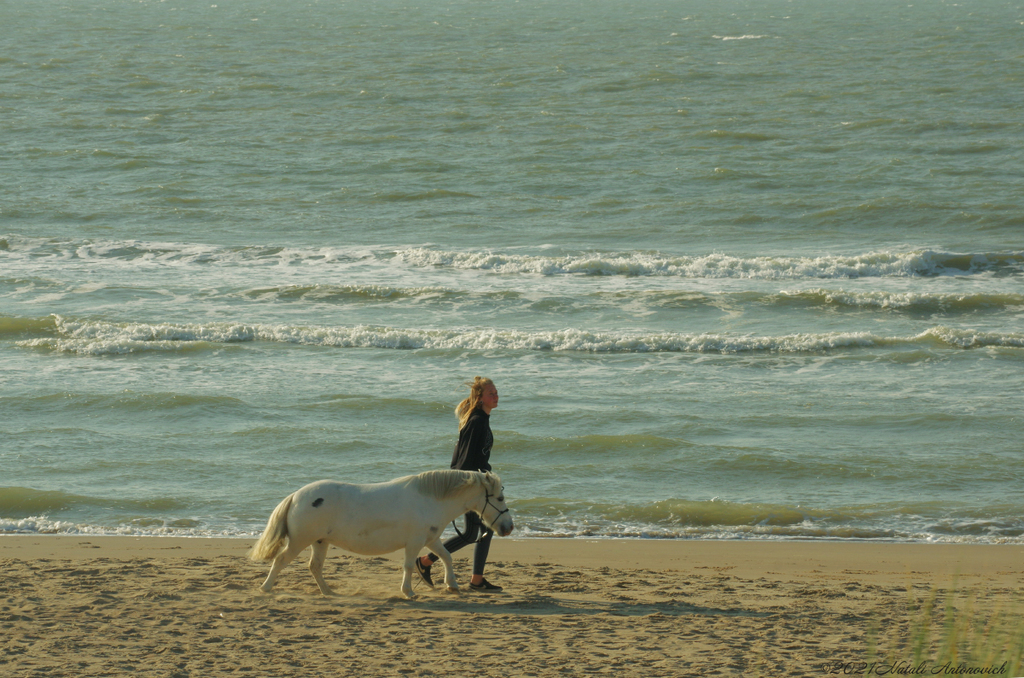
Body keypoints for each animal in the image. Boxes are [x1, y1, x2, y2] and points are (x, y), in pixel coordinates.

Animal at [247, 473, 512, 602]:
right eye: (499, 498)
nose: (508, 527)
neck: (429, 500)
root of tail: (295, 496)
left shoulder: (430, 539)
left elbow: (446, 557)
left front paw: (452, 585)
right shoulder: (415, 542)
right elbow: (408, 565)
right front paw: (408, 592)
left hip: (320, 542)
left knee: (315, 567)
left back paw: (329, 592)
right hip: (300, 541)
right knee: (280, 561)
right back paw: (265, 588)